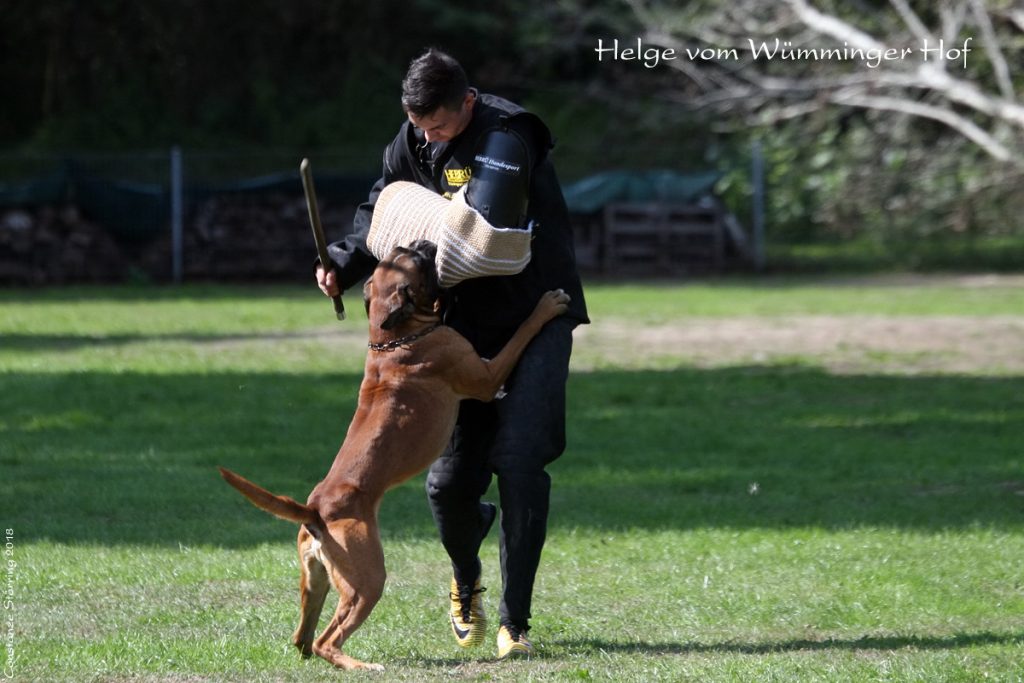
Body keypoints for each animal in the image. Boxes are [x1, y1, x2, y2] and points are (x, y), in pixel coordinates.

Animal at [219, 241, 569, 671]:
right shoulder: (486, 376)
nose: (421, 243)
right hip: (367, 581)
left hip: (315, 582)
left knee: (302, 640)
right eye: (416, 261)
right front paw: (548, 305)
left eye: (402, 254)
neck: (395, 337)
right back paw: (362, 666)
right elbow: (521, 333)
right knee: (326, 640)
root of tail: (315, 510)